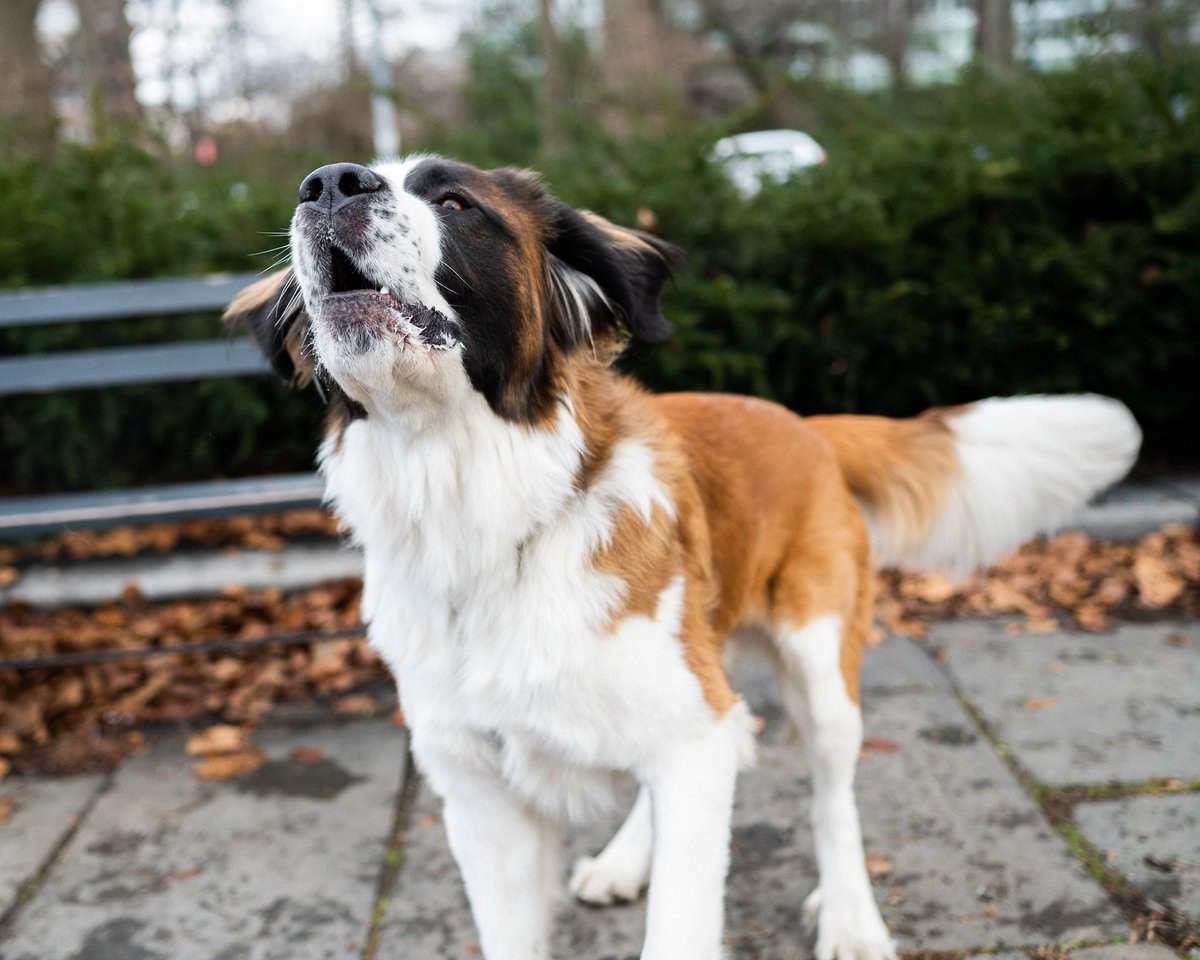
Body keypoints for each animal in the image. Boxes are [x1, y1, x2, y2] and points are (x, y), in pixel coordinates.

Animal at [226, 157, 1142, 960]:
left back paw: (851, 919)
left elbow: (683, 918)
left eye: (455, 204)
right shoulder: (479, 795)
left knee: (830, 795)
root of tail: (804, 422)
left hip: (819, 662)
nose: (329, 183)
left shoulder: (685, 745)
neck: (480, 516)